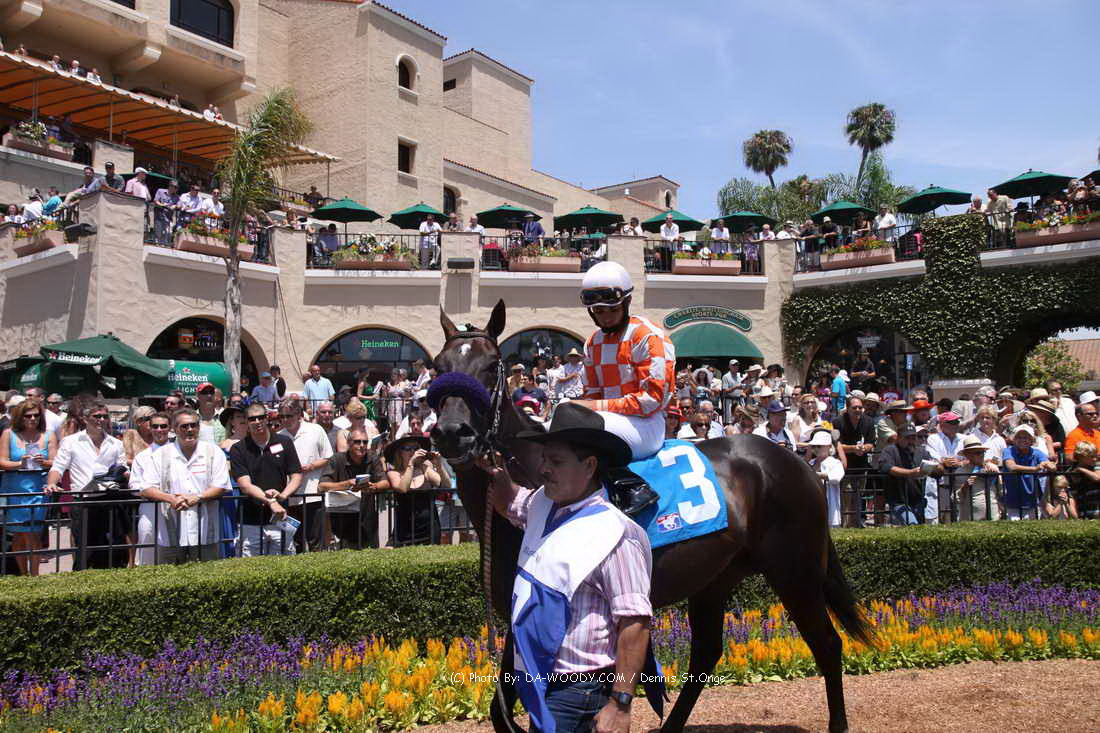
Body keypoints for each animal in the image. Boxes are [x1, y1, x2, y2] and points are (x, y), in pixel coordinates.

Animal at [430, 300, 872, 733]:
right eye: (438, 365)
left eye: (491, 365)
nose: (452, 433)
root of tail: (798, 463)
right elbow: (503, 712)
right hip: (714, 577)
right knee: (706, 654)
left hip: (795, 573)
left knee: (827, 644)